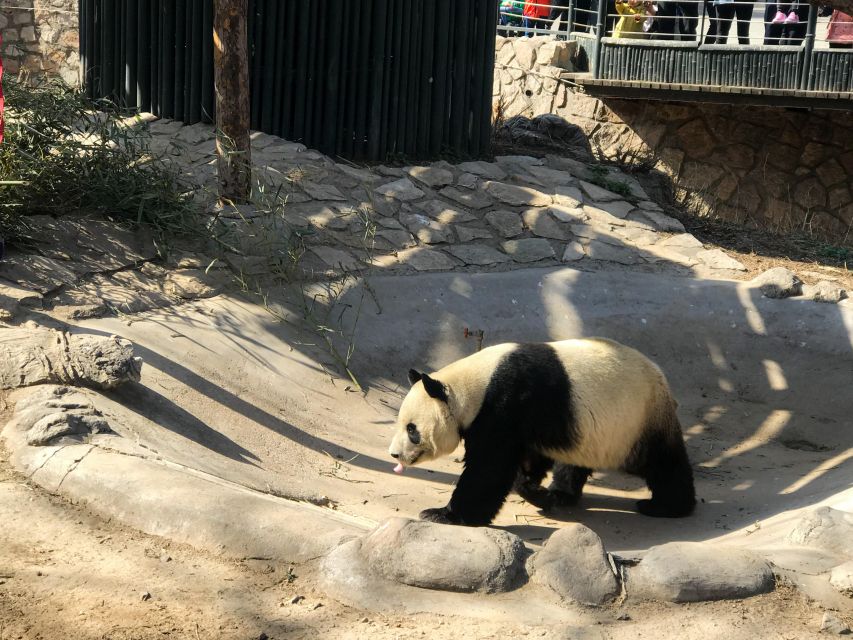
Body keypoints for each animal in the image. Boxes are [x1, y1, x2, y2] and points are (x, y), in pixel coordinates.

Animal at [390, 338, 696, 528]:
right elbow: (526, 459)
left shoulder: (508, 402)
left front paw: (442, 514)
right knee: (574, 462)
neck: (473, 384)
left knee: (662, 462)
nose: (394, 454)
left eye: (412, 429)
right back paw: (561, 494)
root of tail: (660, 375)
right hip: (587, 429)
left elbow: (489, 468)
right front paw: (534, 490)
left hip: (634, 420)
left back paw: (667, 506)